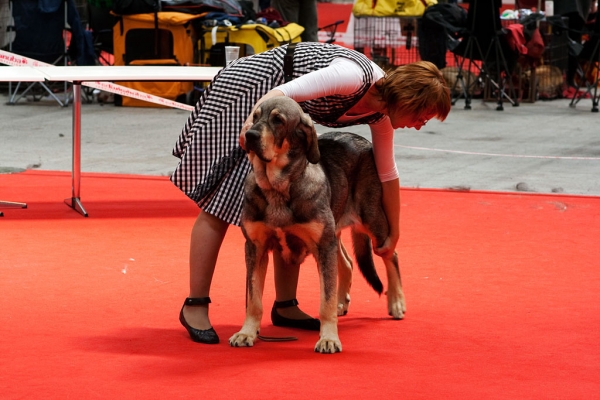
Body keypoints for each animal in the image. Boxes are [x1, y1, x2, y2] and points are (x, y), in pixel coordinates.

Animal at [227, 97, 406, 354]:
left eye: (278, 120)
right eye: (255, 116)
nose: (250, 135)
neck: (277, 187)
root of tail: (363, 140)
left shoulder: (323, 245)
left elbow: (325, 299)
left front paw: (329, 338)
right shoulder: (255, 247)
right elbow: (253, 299)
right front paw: (246, 333)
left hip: (371, 221)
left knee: (391, 254)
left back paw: (396, 302)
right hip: (333, 234)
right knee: (347, 263)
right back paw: (343, 302)